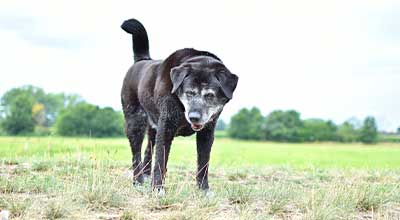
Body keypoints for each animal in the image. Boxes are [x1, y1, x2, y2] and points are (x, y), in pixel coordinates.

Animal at [119, 18, 238, 192]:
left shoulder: (207, 131)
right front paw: (158, 189)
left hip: (153, 126)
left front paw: (203, 189)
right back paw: (138, 180)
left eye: (210, 95)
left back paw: (146, 176)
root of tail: (142, 60)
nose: (194, 117)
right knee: (136, 154)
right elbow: (161, 160)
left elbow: (203, 163)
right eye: (189, 92)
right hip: (135, 122)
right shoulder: (166, 127)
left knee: (148, 148)